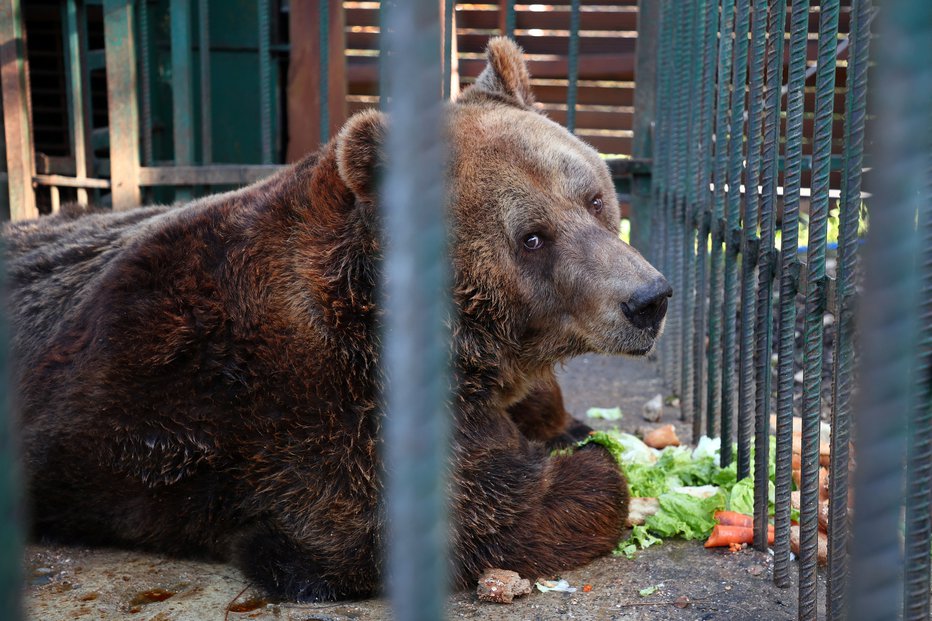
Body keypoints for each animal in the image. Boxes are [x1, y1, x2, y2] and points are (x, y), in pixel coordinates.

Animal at [5, 38, 668, 600]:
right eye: (531, 238)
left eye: (594, 198)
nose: (648, 298)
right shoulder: (310, 410)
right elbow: (459, 515)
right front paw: (599, 469)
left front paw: (565, 423)